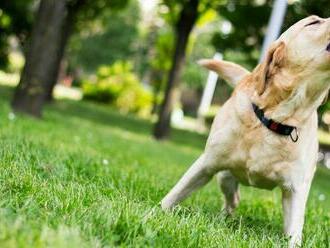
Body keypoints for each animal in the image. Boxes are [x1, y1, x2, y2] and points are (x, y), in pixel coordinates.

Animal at [161, 15, 328, 246]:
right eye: (314, 23)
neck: (276, 120)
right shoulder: (206, 164)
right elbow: (174, 195)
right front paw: (156, 213)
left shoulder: (296, 189)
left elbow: (294, 232)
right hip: (224, 177)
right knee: (232, 200)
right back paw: (223, 218)